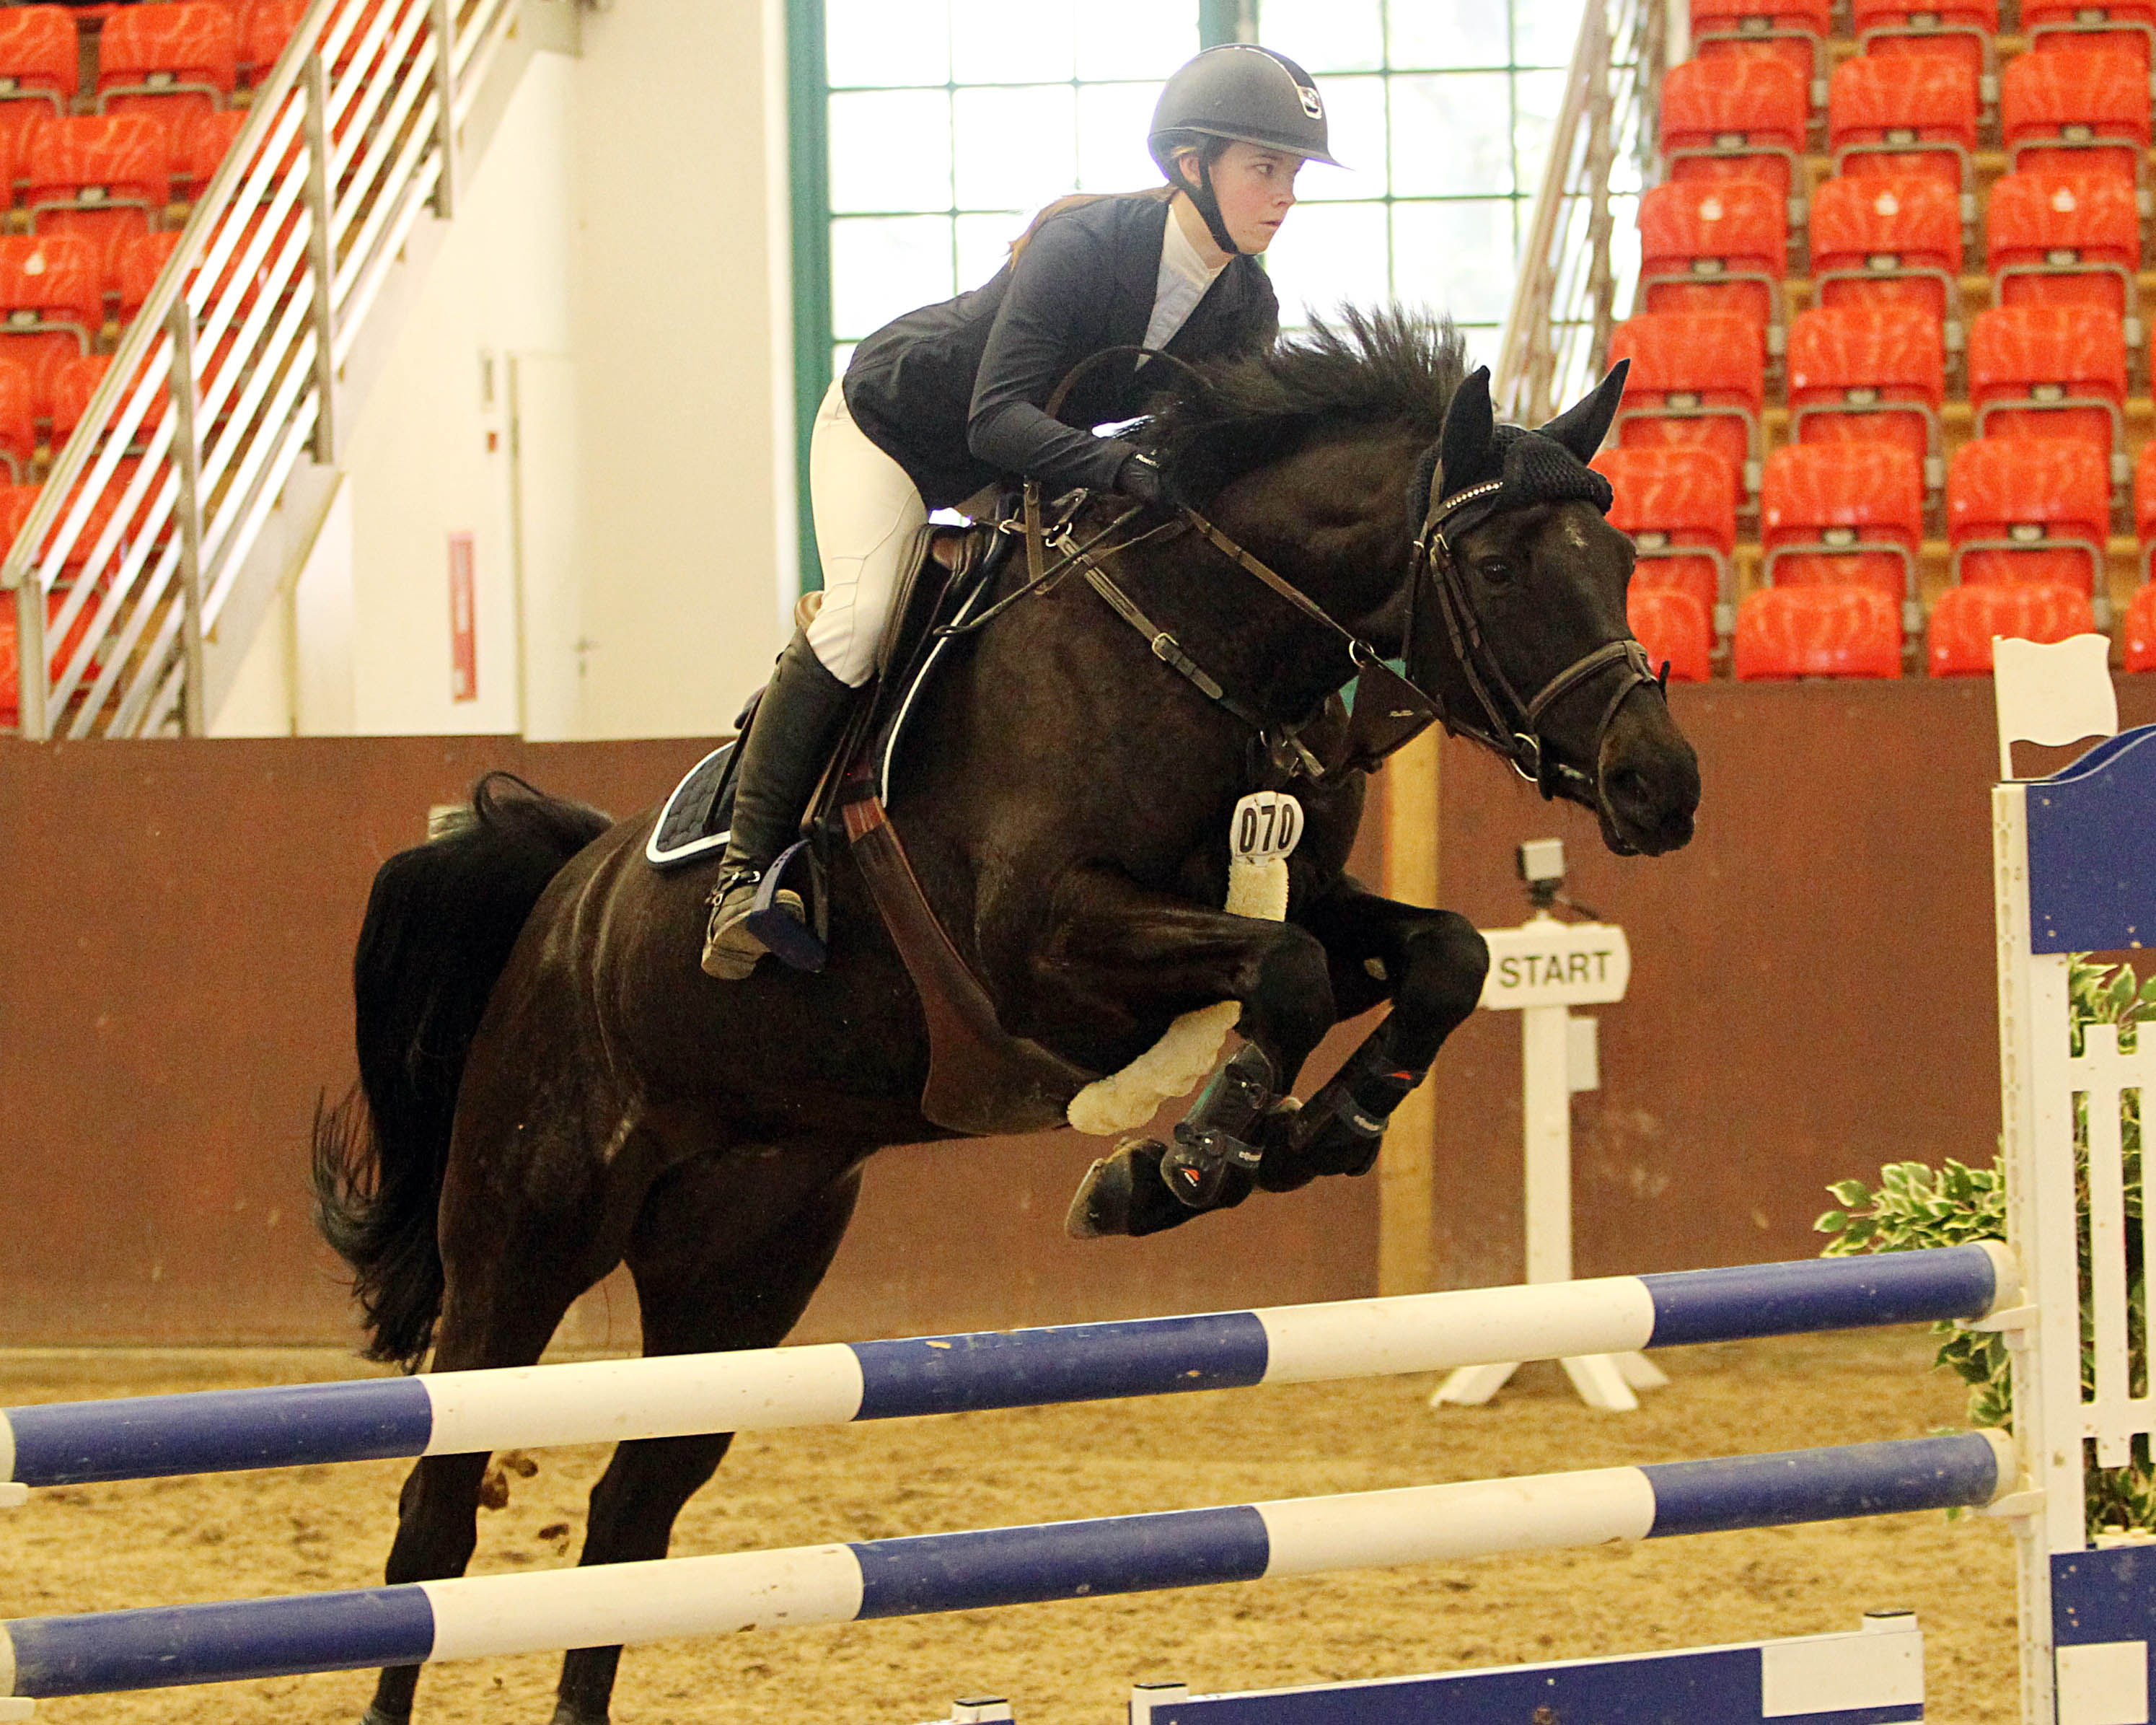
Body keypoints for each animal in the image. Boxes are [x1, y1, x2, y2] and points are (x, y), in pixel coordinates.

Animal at [314, 312, 1699, 1725]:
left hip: (740, 1269)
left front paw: (1316, 1134)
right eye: (1495, 563)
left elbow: (1436, 955)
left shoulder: (1303, 894)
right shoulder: (1047, 949)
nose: (1660, 784)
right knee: (437, 1508)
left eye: (1624, 558)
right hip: (527, 1238)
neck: (1202, 647)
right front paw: (1180, 1165)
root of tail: (562, 901)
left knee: (630, 1519)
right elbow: (1293, 971)